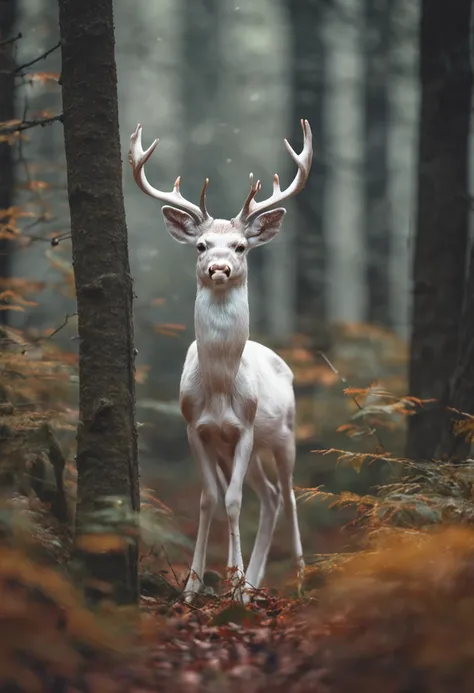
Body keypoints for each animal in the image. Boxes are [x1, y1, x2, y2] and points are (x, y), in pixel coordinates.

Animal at [129, 120, 312, 600]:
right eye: (201, 245)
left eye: (242, 246)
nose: (219, 267)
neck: (217, 388)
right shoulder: (197, 428)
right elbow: (210, 498)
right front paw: (195, 587)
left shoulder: (244, 426)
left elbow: (232, 500)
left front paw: (235, 590)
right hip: (238, 449)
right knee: (269, 496)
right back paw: (253, 578)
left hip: (284, 434)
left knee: (287, 496)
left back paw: (297, 579)